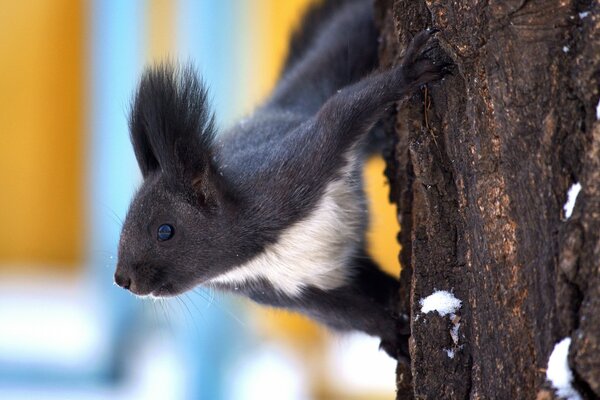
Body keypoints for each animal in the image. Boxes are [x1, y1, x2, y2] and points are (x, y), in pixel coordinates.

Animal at [115, 0, 448, 360]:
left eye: (165, 231)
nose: (122, 279)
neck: (255, 251)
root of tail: (279, 104)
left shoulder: (293, 170)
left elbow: (341, 112)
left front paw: (408, 73)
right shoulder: (282, 292)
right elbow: (345, 314)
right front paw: (392, 331)